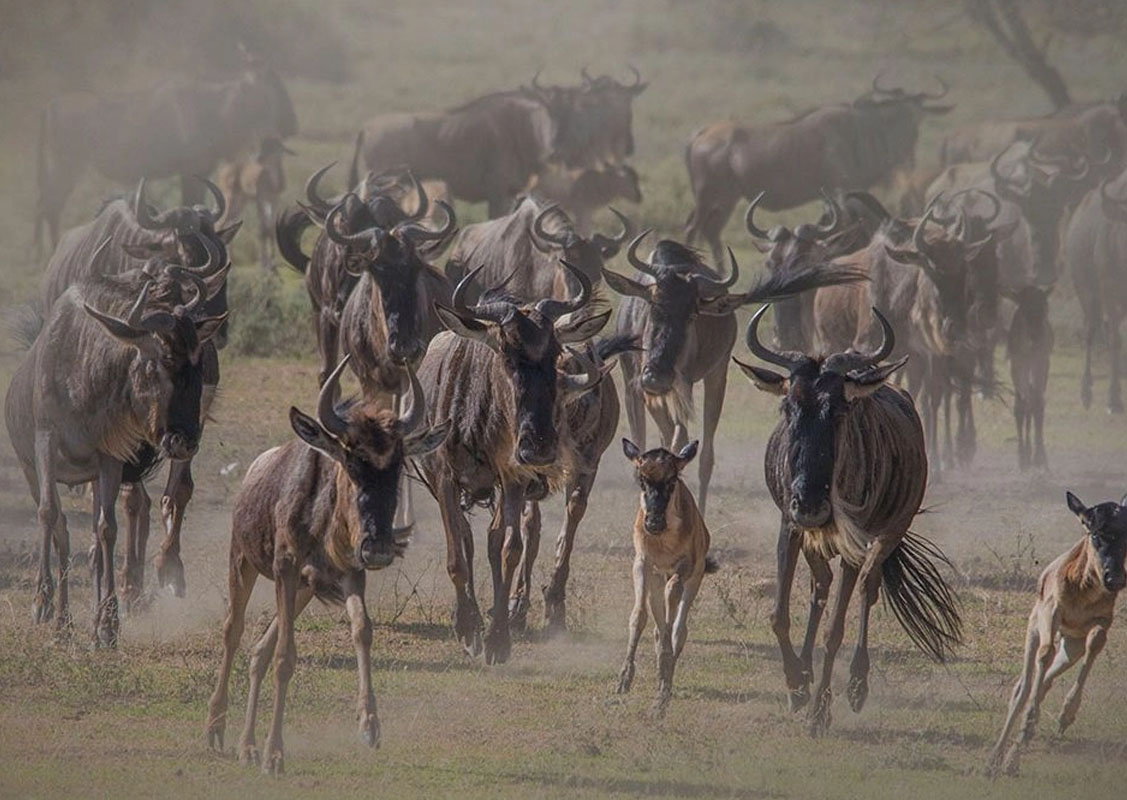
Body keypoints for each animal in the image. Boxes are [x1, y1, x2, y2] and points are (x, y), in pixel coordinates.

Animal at [613, 441, 716, 716]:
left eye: (672, 480)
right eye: (642, 479)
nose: (654, 523)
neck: (663, 541)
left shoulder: (685, 568)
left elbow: (671, 616)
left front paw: (663, 688)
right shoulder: (642, 564)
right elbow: (639, 616)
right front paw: (624, 680)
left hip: (695, 578)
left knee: (679, 629)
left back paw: (665, 683)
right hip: (656, 578)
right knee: (659, 624)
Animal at [987, 491, 1127, 779]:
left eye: (1126, 533)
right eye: (1093, 533)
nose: (1115, 579)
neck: (1084, 588)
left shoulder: (1102, 621)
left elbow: (1095, 643)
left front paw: (1066, 715)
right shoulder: (1051, 613)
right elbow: (1044, 654)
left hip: (1071, 646)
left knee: (1046, 681)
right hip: (1034, 630)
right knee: (1023, 687)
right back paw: (996, 758)